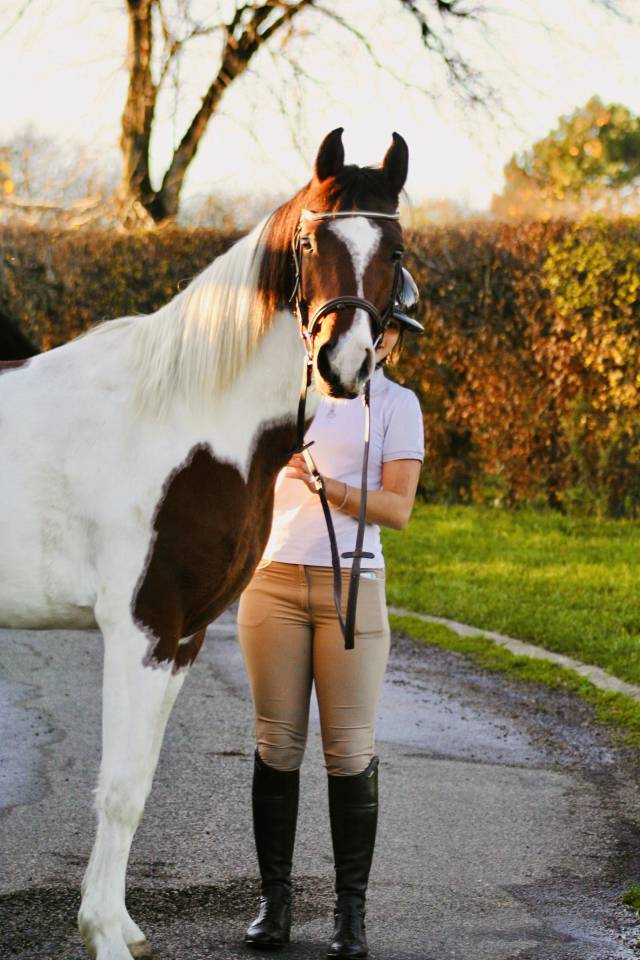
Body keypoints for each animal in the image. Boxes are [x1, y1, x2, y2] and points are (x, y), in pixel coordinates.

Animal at [0, 127, 409, 960]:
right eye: (313, 240)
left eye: (396, 248)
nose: (343, 364)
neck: (183, 418)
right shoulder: (143, 628)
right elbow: (121, 788)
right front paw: (104, 936)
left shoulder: (182, 637)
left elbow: (140, 779)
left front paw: (121, 926)